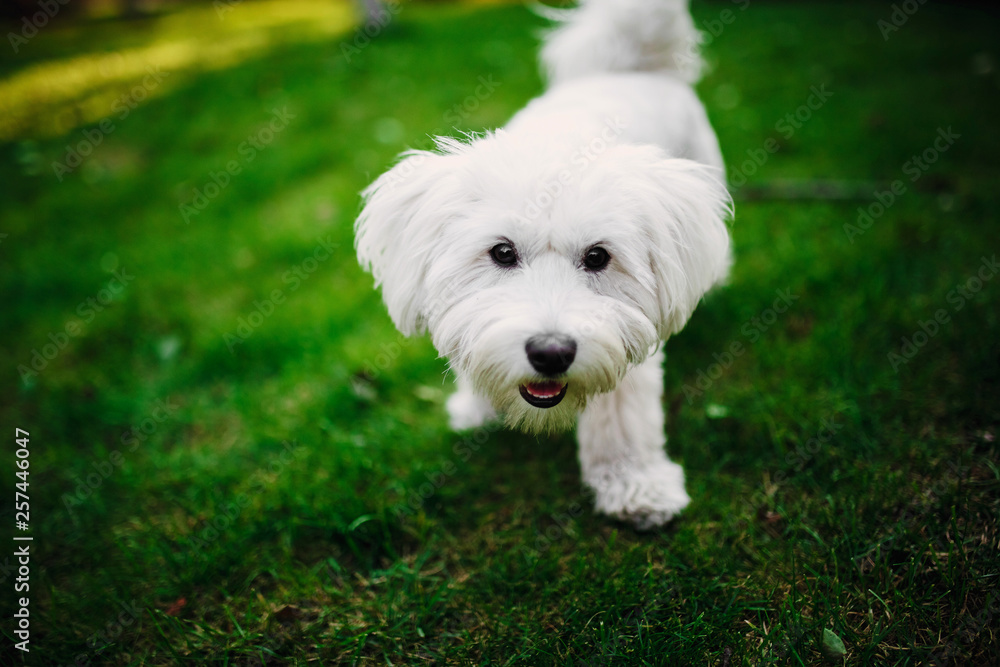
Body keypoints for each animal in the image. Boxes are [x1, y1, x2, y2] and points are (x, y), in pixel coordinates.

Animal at [356, 1, 732, 532]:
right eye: (502, 252)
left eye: (597, 257)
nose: (551, 354)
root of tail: (633, 65)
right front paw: (477, 406)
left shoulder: (626, 332)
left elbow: (623, 415)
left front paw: (635, 485)